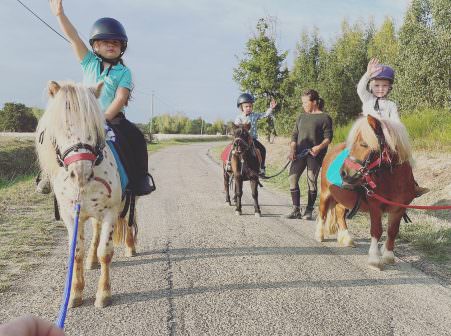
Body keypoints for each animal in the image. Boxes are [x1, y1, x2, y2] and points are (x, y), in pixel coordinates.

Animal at [35, 80, 136, 308]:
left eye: (94, 127)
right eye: (60, 127)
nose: (80, 172)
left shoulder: (110, 212)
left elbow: (105, 252)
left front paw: (104, 293)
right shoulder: (71, 216)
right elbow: (77, 253)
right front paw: (75, 293)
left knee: (129, 220)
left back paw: (130, 247)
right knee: (96, 232)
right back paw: (91, 261)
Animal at [314, 115, 416, 270]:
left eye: (363, 144)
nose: (343, 173)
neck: (394, 181)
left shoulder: (398, 209)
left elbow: (392, 231)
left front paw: (388, 256)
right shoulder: (375, 206)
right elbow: (376, 230)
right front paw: (374, 259)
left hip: (345, 198)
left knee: (339, 213)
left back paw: (346, 238)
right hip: (325, 192)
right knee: (323, 212)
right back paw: (319, 235)